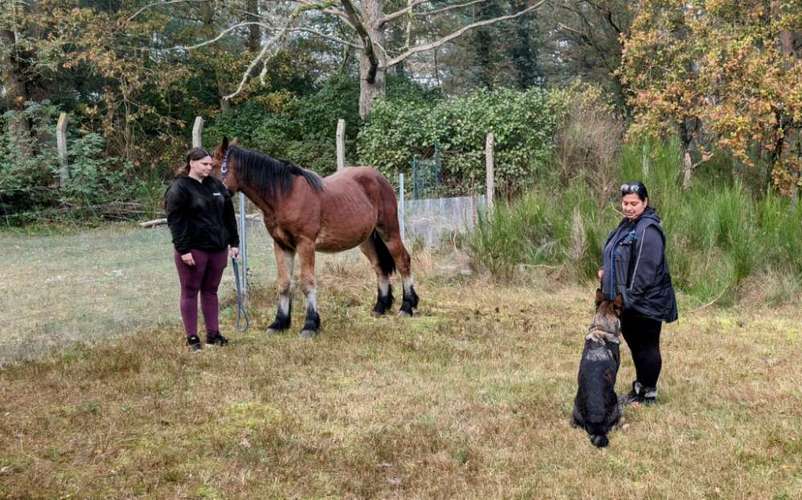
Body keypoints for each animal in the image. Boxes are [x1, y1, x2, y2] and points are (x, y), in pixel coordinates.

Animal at [211, 139, 418, 338]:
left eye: (214, 169)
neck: (284, 194)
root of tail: (379, 177)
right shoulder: (281, 245)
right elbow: (284, 284)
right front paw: (279, 323)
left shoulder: (306, 244)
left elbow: (307, 283)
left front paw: (310, 325)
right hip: (366, 240)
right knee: (379, 267)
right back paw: (380, 307)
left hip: (389, 231)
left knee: (403, 261)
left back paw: (407, 306)